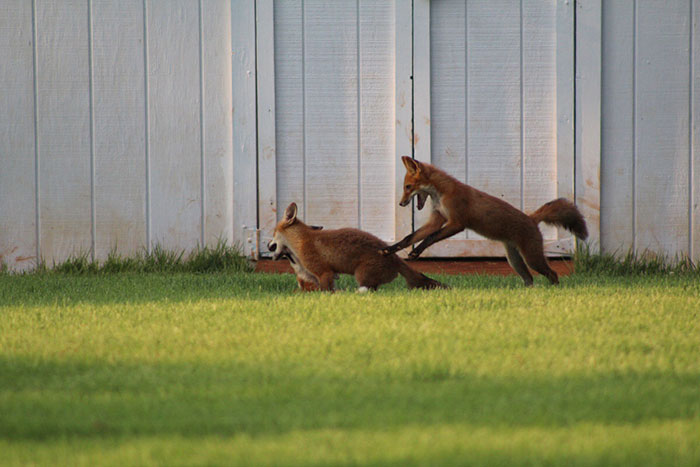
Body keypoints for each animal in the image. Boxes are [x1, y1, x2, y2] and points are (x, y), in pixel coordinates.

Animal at [267, 202, 447, 292]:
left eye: (273, 233)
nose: (268, 245)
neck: (303, 240)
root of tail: (394, 256)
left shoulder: (324, 273)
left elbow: (326, 291)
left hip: (361, 276)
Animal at [381, 156, 588, 286]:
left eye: (408, 187)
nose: (400, 203)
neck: (442, 194)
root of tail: (531, 218)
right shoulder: (438, 219)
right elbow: (410, 237)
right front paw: (390, 249)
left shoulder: (457, 222)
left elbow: (431, 237)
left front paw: (417, 251)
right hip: (515, 260)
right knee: (529, 279)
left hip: (532, 258)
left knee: (552, 274)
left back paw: (554, 290)